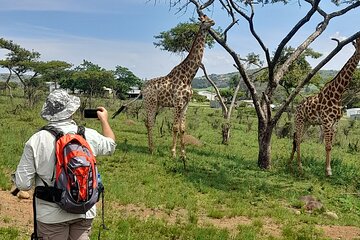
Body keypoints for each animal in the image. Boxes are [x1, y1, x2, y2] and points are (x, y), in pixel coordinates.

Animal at [113, 15, 214, 159]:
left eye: (209, 17)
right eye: (204, 20)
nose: (213, 22)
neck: (188, 77)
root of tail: (142, 89)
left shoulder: (186, 104)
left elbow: (183, 128)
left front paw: (184, 154)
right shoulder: (178, 103)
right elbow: (175, 127)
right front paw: (173, 153)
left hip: (155, 104)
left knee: (148, 122)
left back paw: (151, 148)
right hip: (150, 103)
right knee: (149, 122)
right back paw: (152, 149)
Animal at [290, 37, 360, 176]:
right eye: (358, 44)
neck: (338, 94)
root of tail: (297, 107)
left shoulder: (335, 122)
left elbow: (330, 146)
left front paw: (327, 168)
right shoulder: (327, 121)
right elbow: (327, 146)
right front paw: (328, 171)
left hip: (307, 122)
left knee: (296, 138)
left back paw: (290, 163)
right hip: (299, 120)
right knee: (298, 139)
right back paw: (300, 167)